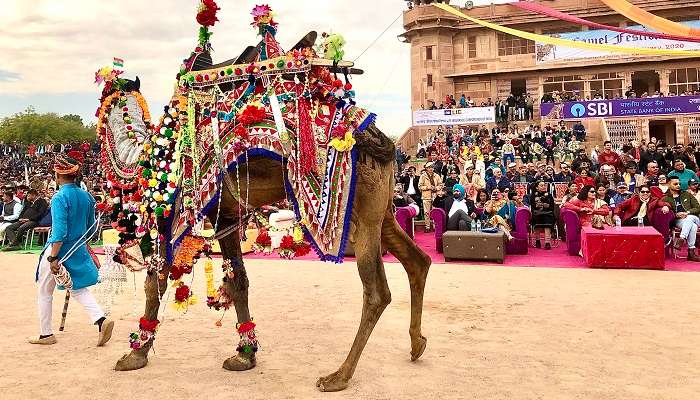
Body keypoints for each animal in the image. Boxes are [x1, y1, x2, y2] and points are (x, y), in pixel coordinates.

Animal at [95, 1, 430, 392]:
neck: (149, 154)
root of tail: (379, 139)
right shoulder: (225, 216)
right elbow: (238, 281)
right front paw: (244, 354)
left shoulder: (172, 216)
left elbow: (156, 283)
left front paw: (135, 353)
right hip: (381, 209)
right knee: (417, 260)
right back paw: (416, 343)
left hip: (359, 211)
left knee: (377, 292)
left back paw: (339, 375)